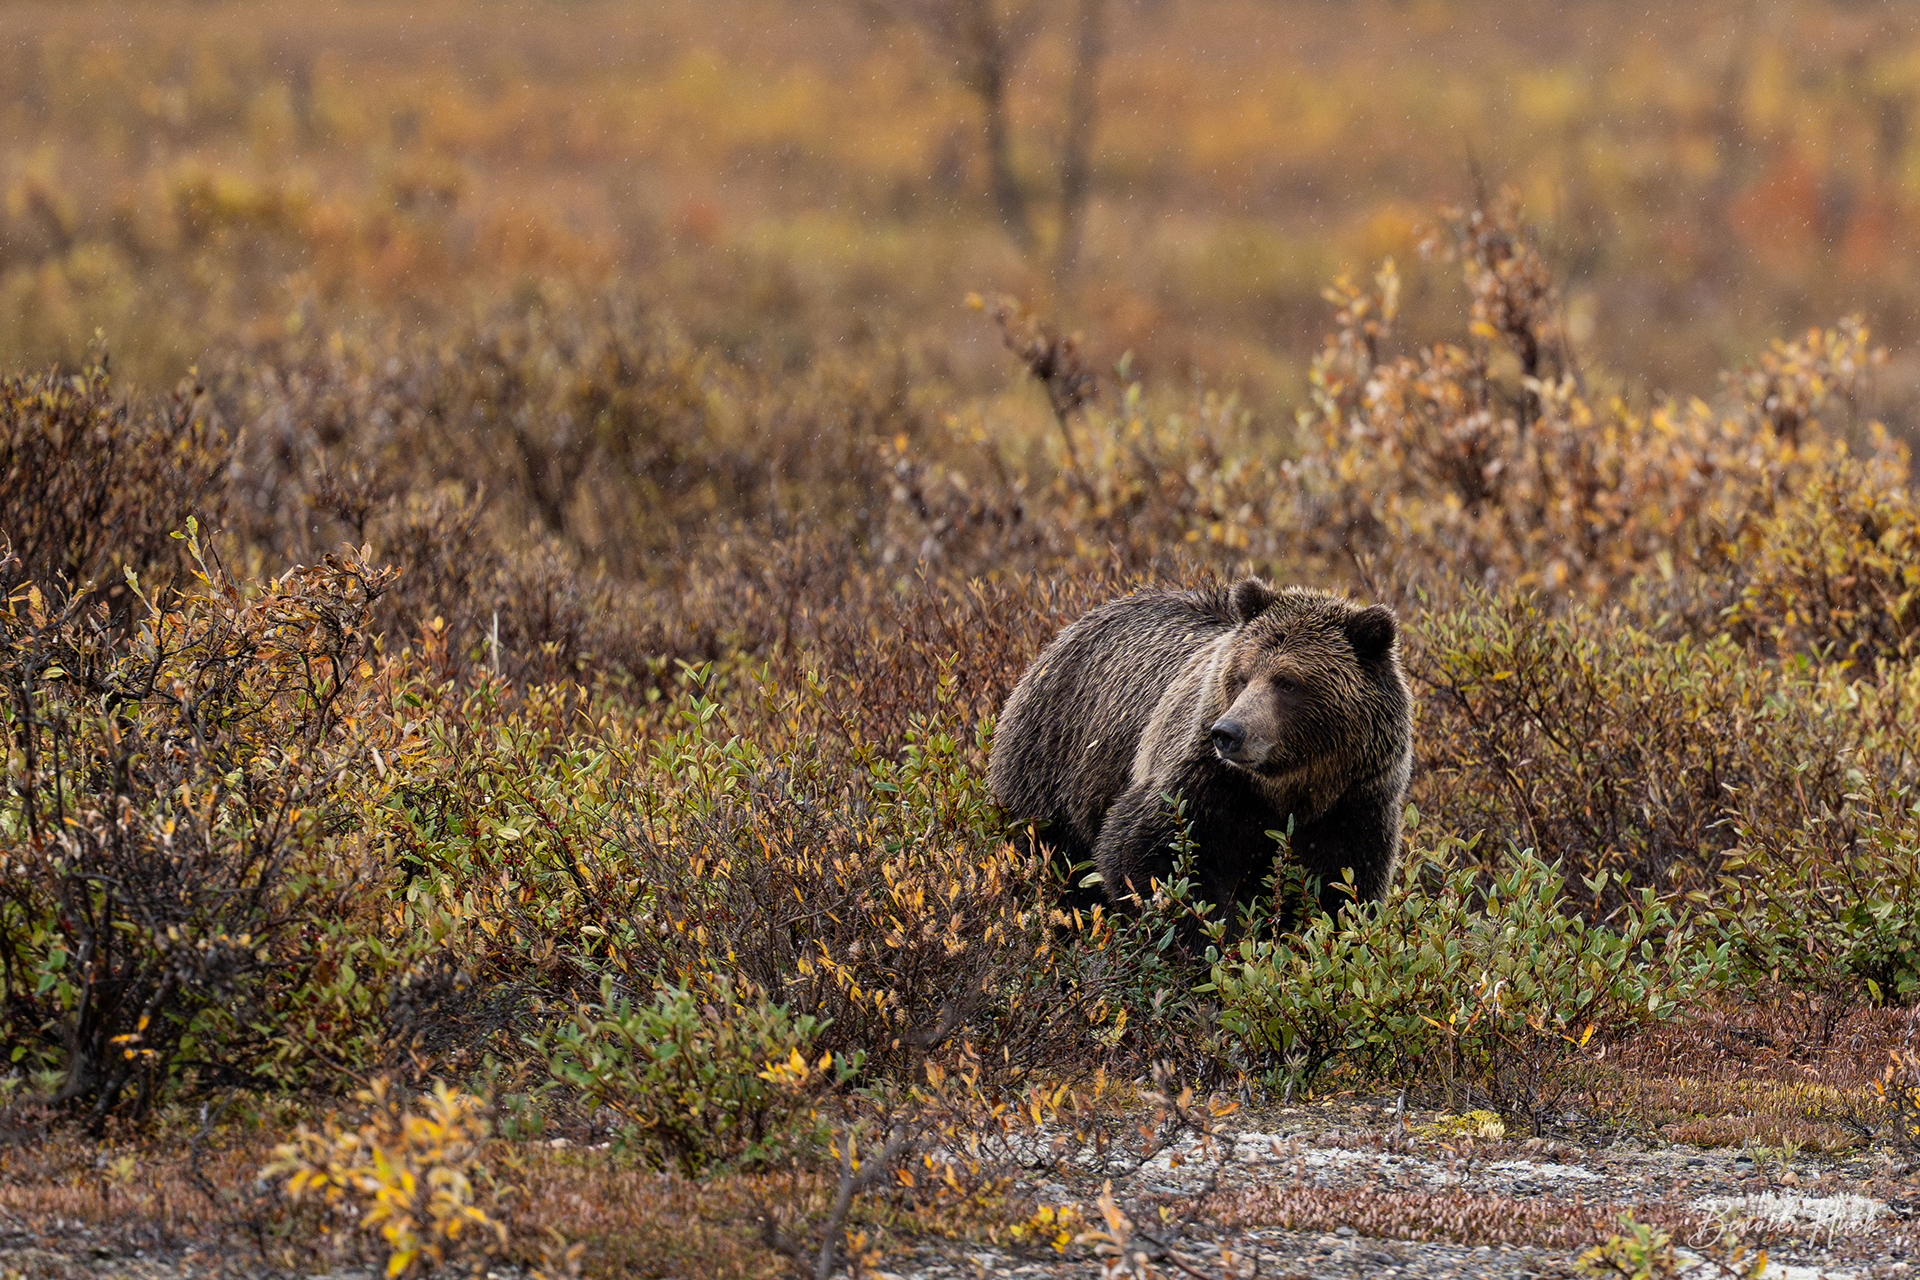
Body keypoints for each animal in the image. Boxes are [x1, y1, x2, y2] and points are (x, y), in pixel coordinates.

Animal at [988, 577, 1411, 928]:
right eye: (1242, 676)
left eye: (1288, 683)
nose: (1228, 733)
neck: (1291, 788)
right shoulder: (1203, 782)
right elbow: (1149, 855)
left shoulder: (1355, 806)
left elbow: (1342, 895)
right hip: (1049, 767)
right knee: (1049, 859)